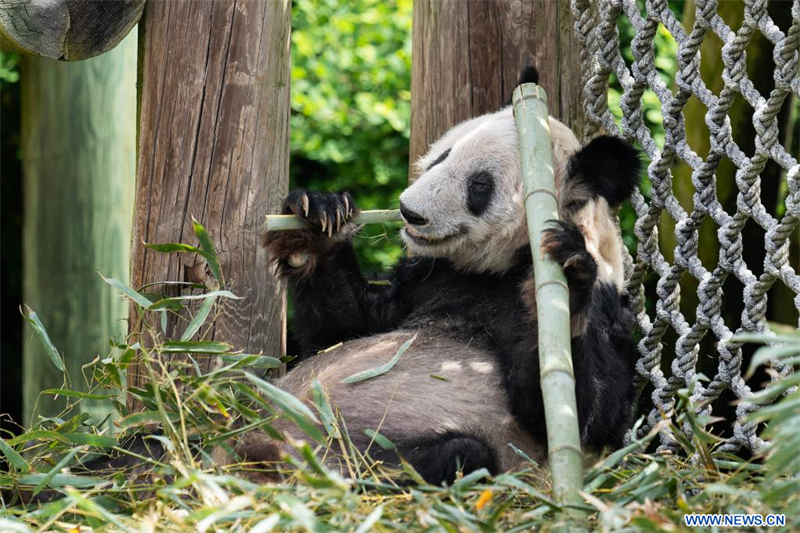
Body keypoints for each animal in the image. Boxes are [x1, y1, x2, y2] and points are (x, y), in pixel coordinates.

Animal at [247, 68, 640, 484]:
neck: (499, 266)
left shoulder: (606, 306)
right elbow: (344, 329)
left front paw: (570, 273)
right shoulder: (430, 277)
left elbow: (587, 415)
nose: (409, 212)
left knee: (460, 454)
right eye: (443, 156)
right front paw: (317, 219)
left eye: (480, 185)